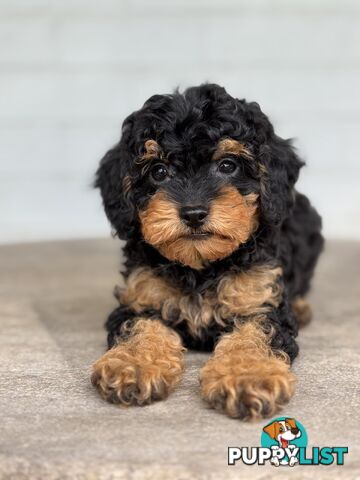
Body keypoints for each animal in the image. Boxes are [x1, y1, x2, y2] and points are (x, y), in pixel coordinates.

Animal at [90, 83, 324, 420]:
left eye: (227, 165)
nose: (193, 213)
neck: (200, 267)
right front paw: (133, 364)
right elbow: (140, 326)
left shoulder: (260, 299)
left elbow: (254, 333)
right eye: (158, 171)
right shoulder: (140, 298)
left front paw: (248, 376)